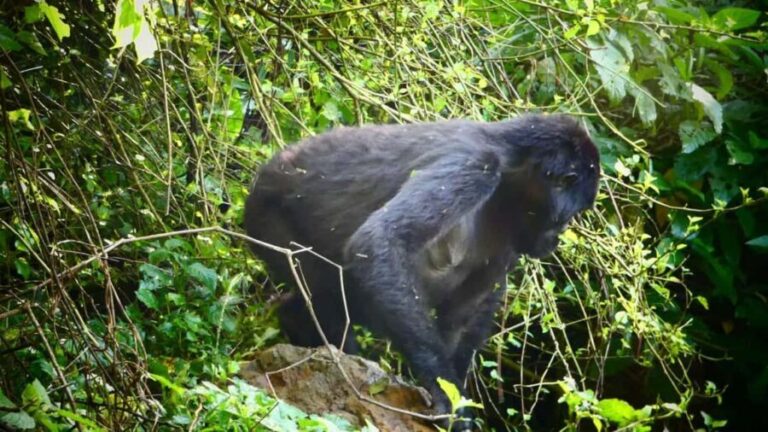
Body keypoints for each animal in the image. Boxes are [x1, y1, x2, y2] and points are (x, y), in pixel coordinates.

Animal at [244, 114, 600, 430]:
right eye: (569, 214)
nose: (556, 238)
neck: (512, 158)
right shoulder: (473, 166)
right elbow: (381, 242)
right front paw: (445, 396)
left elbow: (464, 313)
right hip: (266, 216)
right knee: (330, 292)